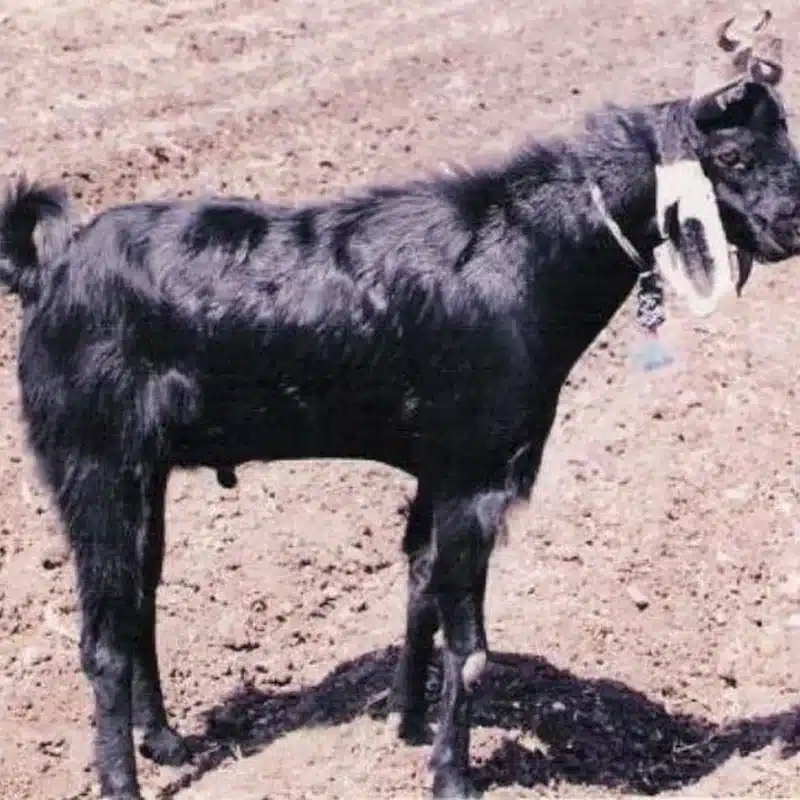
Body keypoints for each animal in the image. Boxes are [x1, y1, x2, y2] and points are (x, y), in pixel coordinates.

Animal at [1, 15, 799, 800]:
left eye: (786, 139)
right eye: (731, 156)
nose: (793, 226)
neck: (528, 250)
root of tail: (51, 270)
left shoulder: (438, 468)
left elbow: (419, 586)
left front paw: (408, 723)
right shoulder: (478, 473)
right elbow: (470, 644)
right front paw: (452, 777)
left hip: (145, 471)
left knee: (138, 598)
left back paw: (166, 741)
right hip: (93, 464)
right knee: (102, 639)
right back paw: (123, 781)